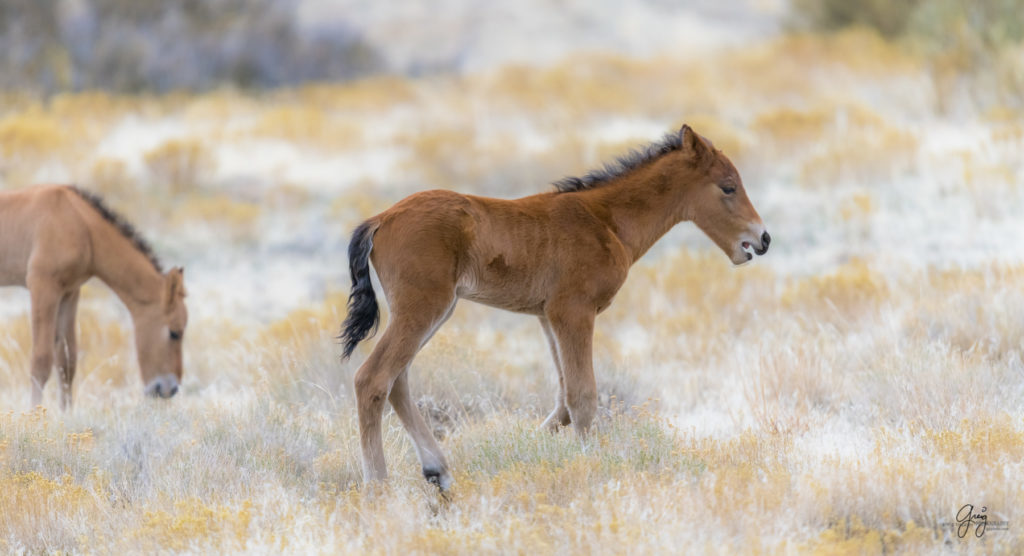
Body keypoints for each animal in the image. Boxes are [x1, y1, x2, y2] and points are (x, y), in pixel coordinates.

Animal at [339, 124, 770, 491]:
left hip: (433, 311)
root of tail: (381, 218)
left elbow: (563, 400)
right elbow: (583, 397)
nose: (762, 239)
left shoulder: (548, 316)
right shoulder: (573, 312)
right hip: (423, 307)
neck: (605, 221)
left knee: (397, 381)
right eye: (728, 187)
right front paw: (591, 467)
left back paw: (438, 472)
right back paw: (378, 486)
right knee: (372, 378)